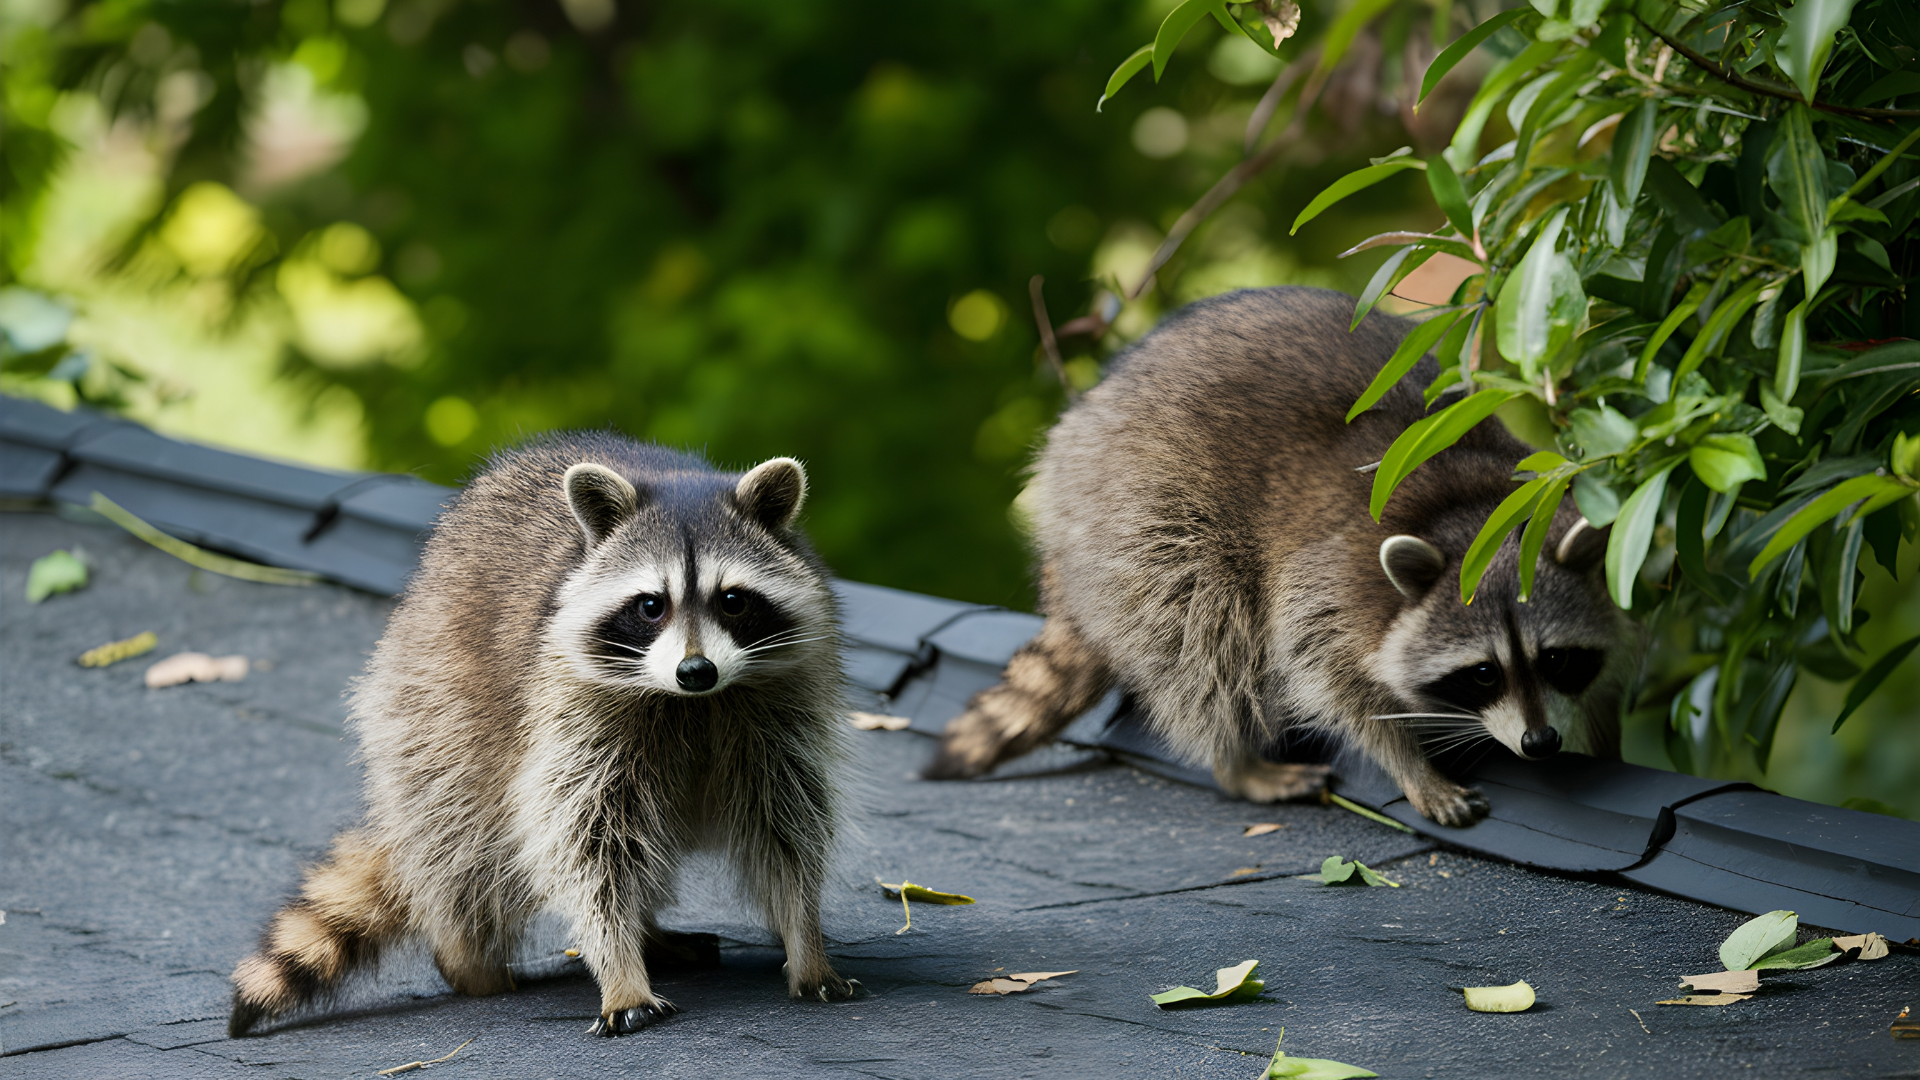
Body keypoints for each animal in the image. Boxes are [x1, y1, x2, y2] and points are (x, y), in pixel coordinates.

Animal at [228, 433, 858, 1039]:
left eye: (732, 600)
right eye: (651, 605)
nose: (695, 670)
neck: (692, 704)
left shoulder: (782, 706)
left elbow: (785, 824)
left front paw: (805, 942)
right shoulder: (571, 707)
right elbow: (587, 840)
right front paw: (619, 969)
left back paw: (649, 933)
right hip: (436, 707)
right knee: (461, 838)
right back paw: (468, 956)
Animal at [926, 287, 1631, 826]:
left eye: (1558, 659)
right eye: (1483, 673)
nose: (1540, 743)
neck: (1479, 517)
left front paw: (1601, 737)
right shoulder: (1329, 581)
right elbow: (1331, 681)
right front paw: (1409, 764)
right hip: (1134, 505)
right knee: (1199, 630)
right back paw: (1234, 761)